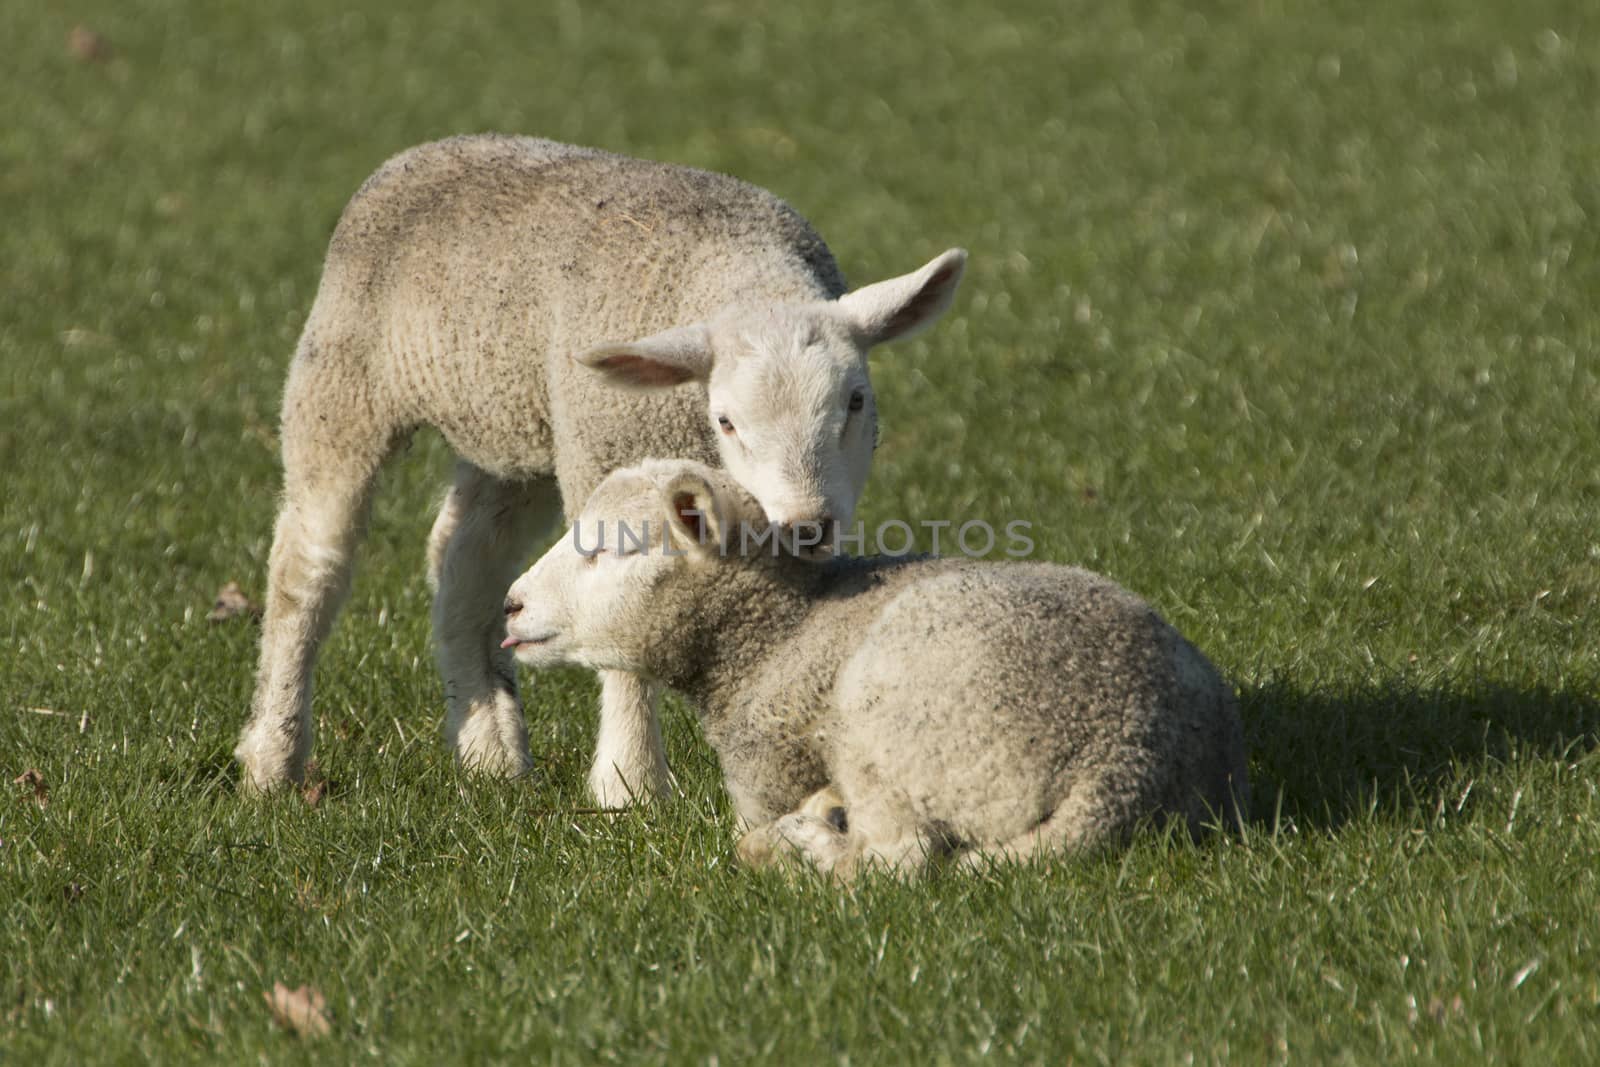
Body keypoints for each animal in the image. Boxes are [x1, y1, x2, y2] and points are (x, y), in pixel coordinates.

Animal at [233, 135, 966, 799]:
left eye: (857, 401)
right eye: (726, 419)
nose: (808, 524)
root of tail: (427, 152)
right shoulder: (608, 464)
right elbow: (621, 620)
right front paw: (630, 786)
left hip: (517, 428)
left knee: (464, 561)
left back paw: (490, 749)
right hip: (342, 386)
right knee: (308, 566)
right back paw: (272, 759)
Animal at [499, 463, 1248, 883]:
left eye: (614, 550)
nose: (509, 602)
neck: (775, 634)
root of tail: (1124, 755)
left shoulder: (767, 768)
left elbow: (750, 833)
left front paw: (786, 840)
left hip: (898, 729)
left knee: (898, 865)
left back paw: (809, 851)